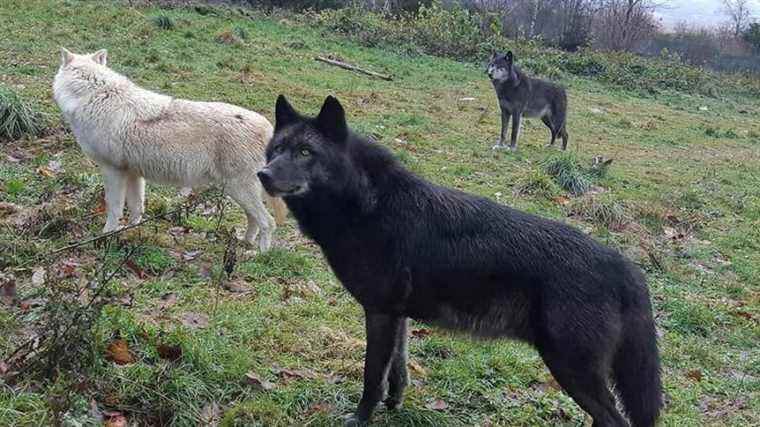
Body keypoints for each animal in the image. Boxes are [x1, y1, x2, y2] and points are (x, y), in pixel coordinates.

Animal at [53, 48, 284, 252]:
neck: (95, 95)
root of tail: (269, 127)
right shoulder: (134, 173)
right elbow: (136, 208)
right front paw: (131, 232)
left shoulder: (113, 170)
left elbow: (114, 207)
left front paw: (106, 235)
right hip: (238, 192)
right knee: (254, 220)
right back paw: (244, 243)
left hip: (238, 189)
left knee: (268, 222)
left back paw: (259, 255)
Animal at [258, 95, 664, 426]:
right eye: (276, 149)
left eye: (306, 152)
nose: (262, 175)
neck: (368, 205)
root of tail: (625, 267)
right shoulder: (398, 317)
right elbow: (398, 370)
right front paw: (395, 405)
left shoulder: (379, 313)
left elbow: (373, 376)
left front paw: (361, 419)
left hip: (570, 367)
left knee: (614, 420)